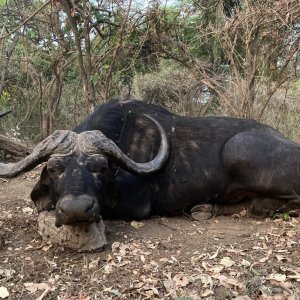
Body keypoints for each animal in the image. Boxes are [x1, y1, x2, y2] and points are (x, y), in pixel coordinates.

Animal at [0, 99, 300, 226]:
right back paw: (206, 208)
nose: (76, 210)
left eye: (100, 169)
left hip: (238, 153)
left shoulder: (137, 206)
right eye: (54, 169)